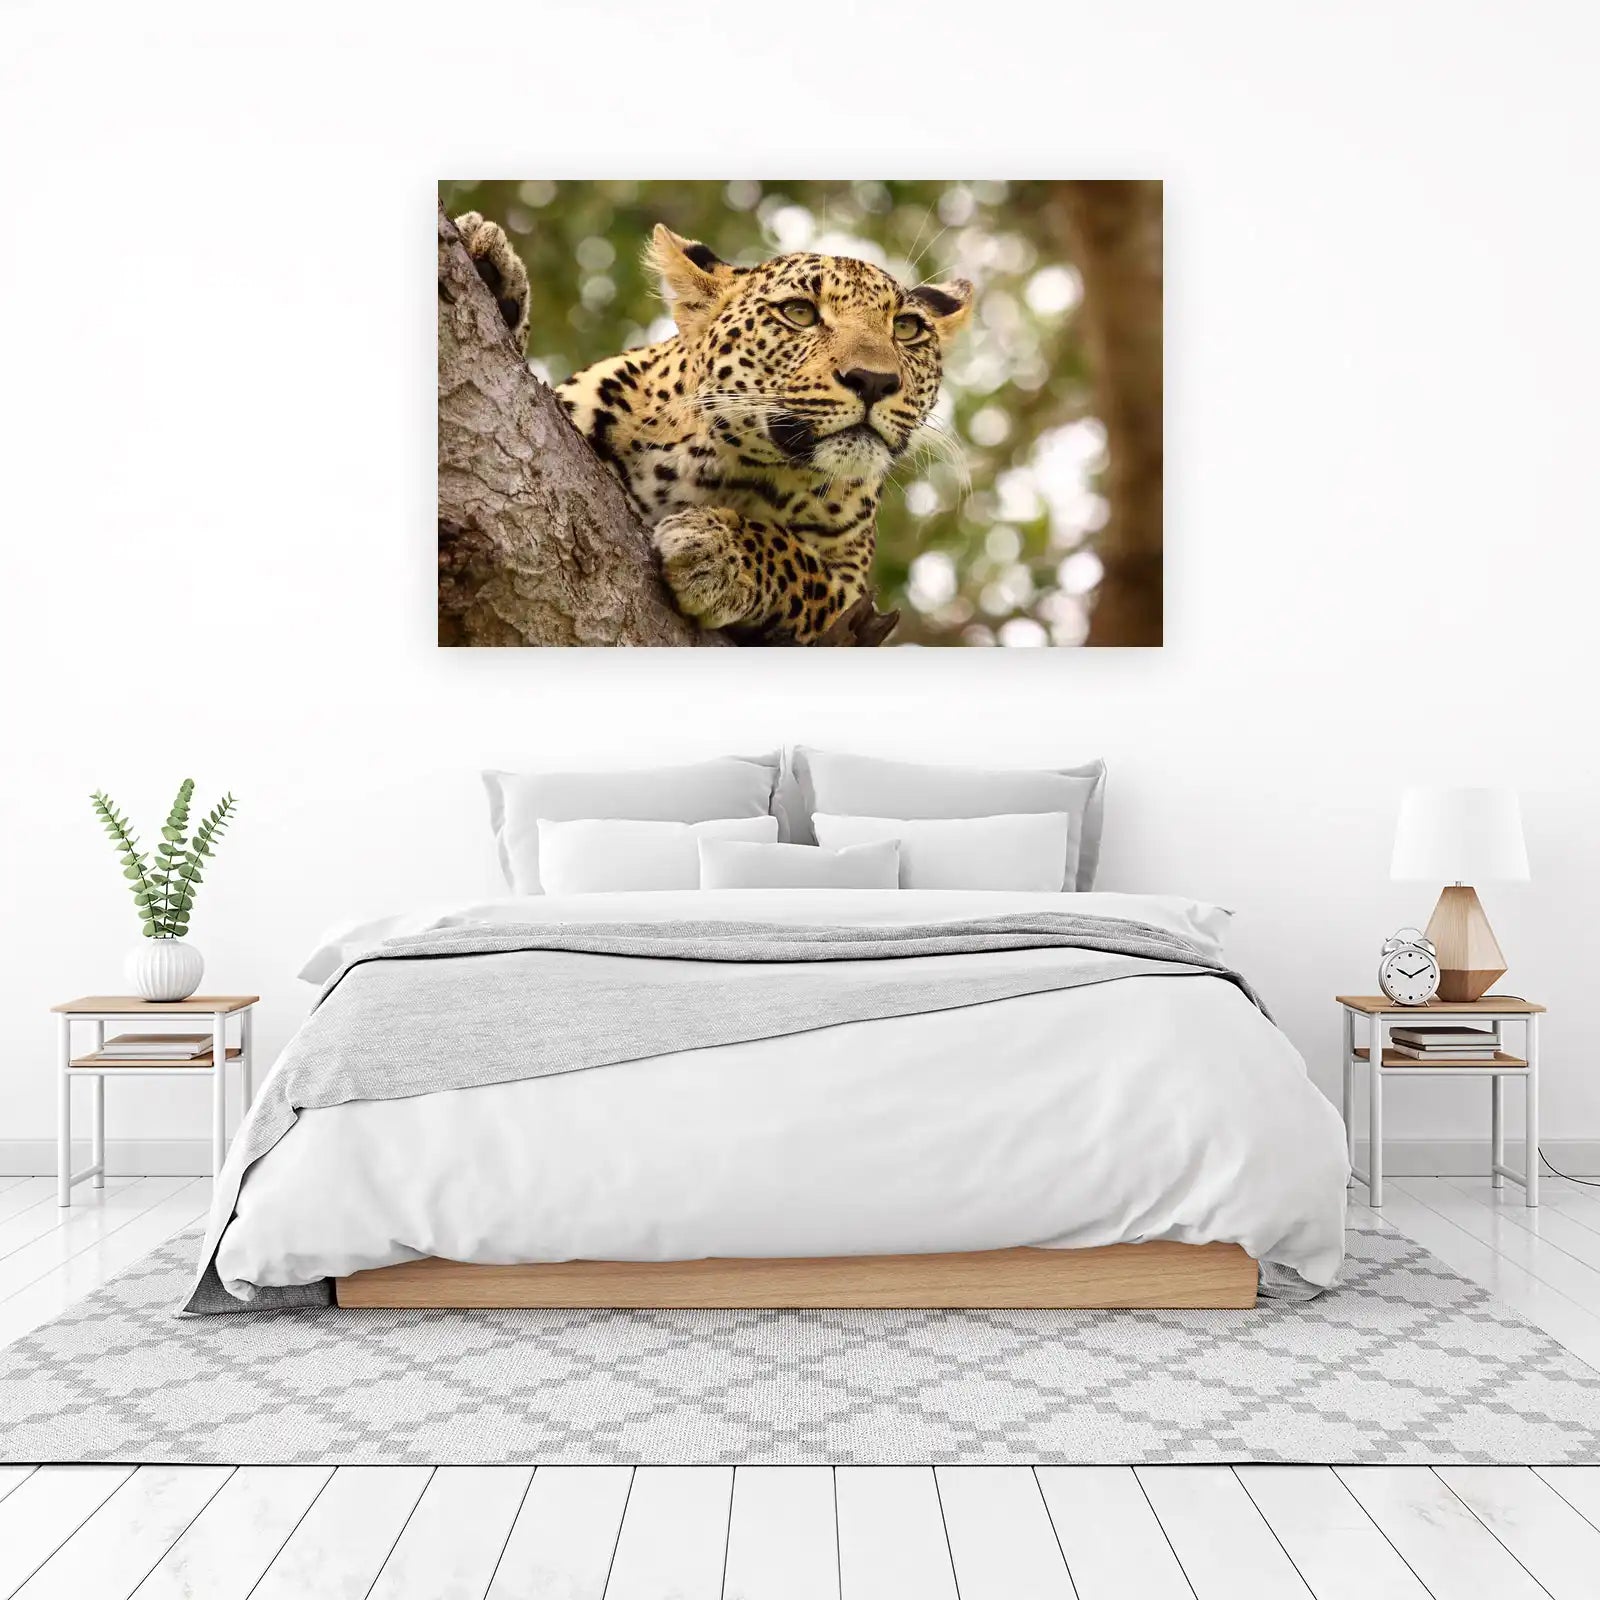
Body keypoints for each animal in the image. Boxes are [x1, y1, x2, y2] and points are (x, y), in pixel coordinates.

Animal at [453, 212, 972, 644]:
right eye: (799, 313)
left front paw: (716, 553)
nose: (874, 380)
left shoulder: (851, 592)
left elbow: (798, 563)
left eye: (906, 329)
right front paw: (490, 271)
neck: (722, 466)